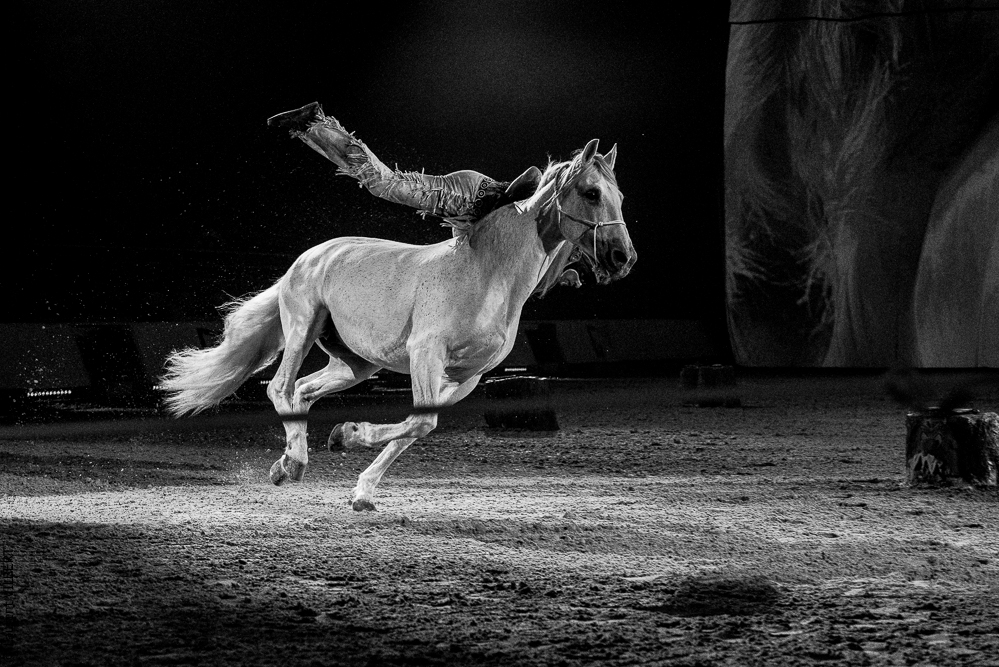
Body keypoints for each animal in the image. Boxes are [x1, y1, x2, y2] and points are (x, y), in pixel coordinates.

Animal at [160, 138, 636, 511]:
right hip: (302, 327)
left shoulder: (466, 376)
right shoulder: (425, 353)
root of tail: (310, 256)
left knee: (303, 391)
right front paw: (350, 435)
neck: (488, 275)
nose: (623, 258)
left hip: (356, 363)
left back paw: (288, 462)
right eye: (591, 192)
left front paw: (361, 487)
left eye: (620, 197)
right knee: (279, 386)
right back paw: (294, 463)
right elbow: (420, 422)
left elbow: (416, 425)